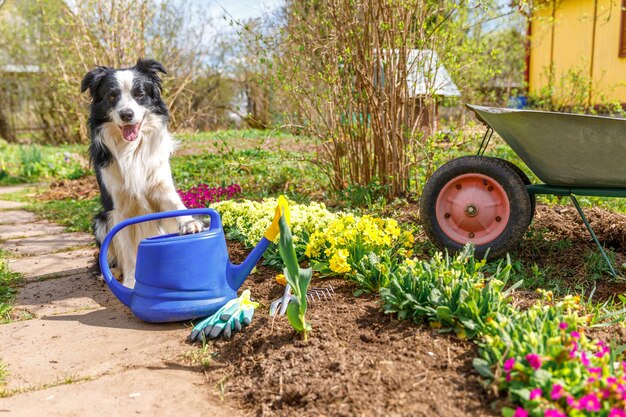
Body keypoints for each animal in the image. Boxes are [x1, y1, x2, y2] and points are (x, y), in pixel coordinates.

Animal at [80, 57, 202, 286]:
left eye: (139, 94)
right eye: (111, 96)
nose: (126, 115)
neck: (131, 149)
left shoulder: (160, 185)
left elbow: (176, 205)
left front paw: (190, 223)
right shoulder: (118, 208)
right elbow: (128, 252)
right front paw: (130, 282)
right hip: (100, 221)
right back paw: (112, 274)